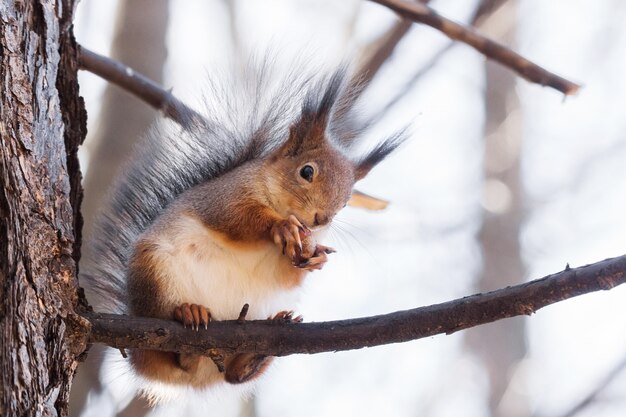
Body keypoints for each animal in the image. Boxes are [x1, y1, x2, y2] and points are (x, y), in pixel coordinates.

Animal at [80, 64, 404, 400]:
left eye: (347, 200)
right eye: (307, 171)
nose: (321, 219)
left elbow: (287, 277)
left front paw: (316, 257)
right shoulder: (225, 197)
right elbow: (237, 219)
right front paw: (281, 226)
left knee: (232, 376)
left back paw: (253, 355)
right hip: (154, 272)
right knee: (170, 339)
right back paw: (188, 313)